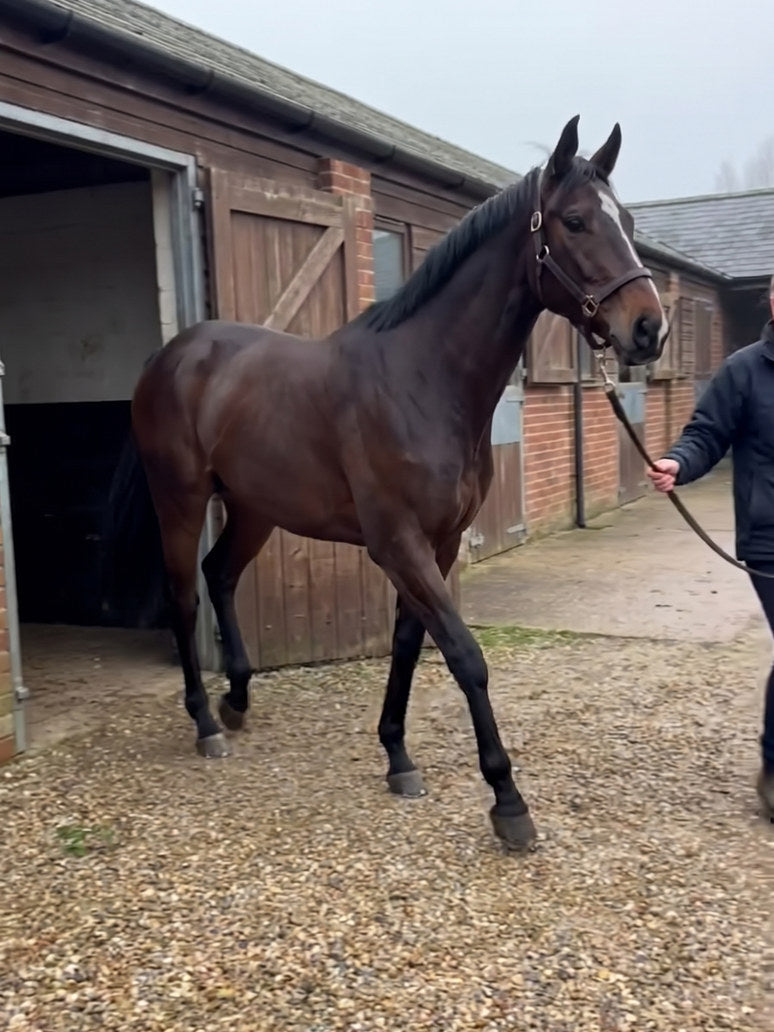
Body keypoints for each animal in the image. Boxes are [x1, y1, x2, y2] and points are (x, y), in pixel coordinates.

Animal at [107, 116, 667, 851]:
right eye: (574, 221)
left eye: (626, 220)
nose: (649, 328)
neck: (423, 378)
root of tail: (171, 357)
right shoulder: (399, 543)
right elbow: (464, 654)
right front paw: (507, 801)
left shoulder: (438, 542)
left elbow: (407, 643)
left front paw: (398, 755)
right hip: (180, 498)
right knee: (182, 594)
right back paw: (204, 722)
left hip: (257, 507)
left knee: (219, 574)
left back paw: (237, 700)